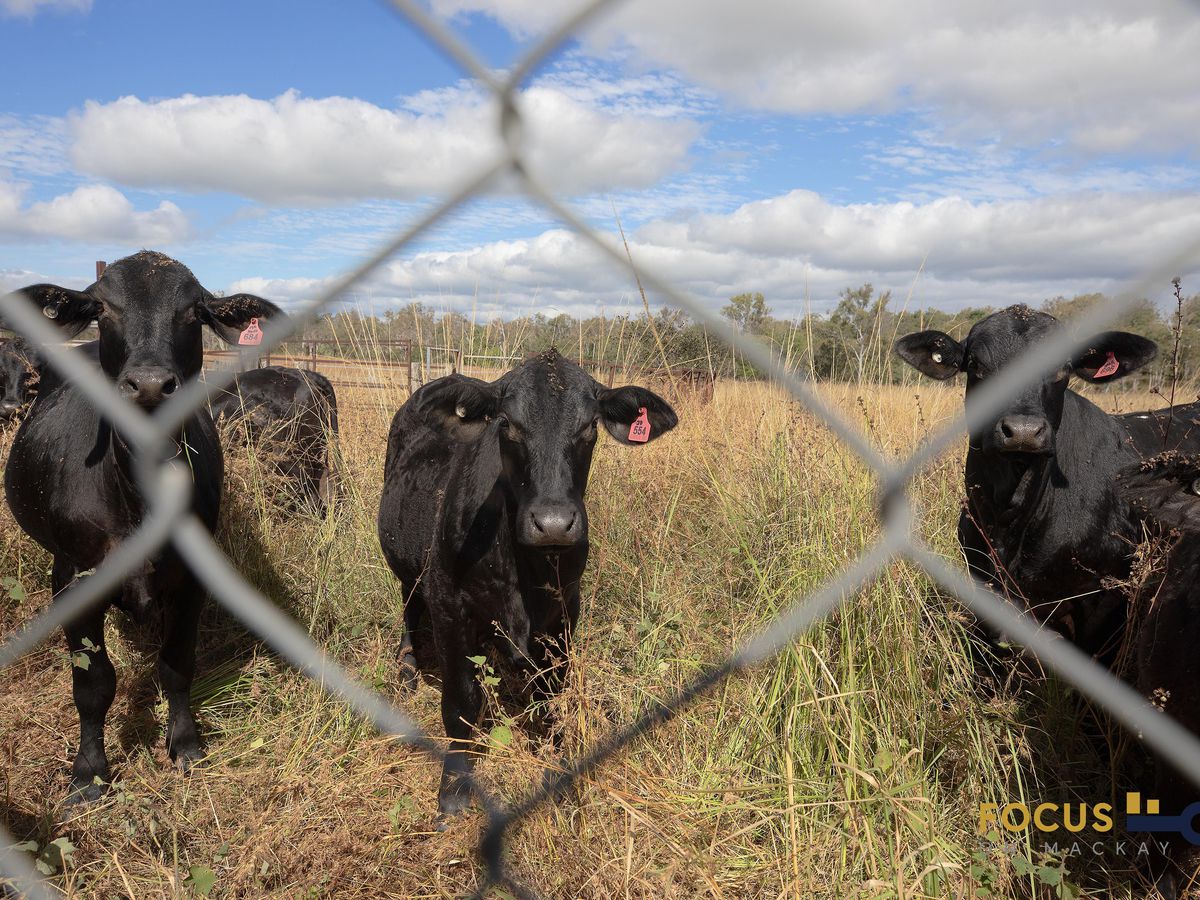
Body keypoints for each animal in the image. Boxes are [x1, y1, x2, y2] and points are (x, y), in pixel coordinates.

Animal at [1, 248, 283, 801]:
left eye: (194, 311)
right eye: (103, 308)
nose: (150, 384)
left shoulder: (193, 578)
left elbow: (177, 665)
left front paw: (185, 744)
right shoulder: (74, 578)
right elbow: (93, 685)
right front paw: (89, 772)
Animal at [376, 350, 676, 816]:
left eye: (589, 427)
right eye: (507, 424)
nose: (553, 523)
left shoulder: (563, 613)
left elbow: (551, 698)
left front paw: (556, 768)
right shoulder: (448, 604)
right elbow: (461, 701)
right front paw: (454, 790)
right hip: (411, 567)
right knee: (409, 606)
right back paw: (407, 667)